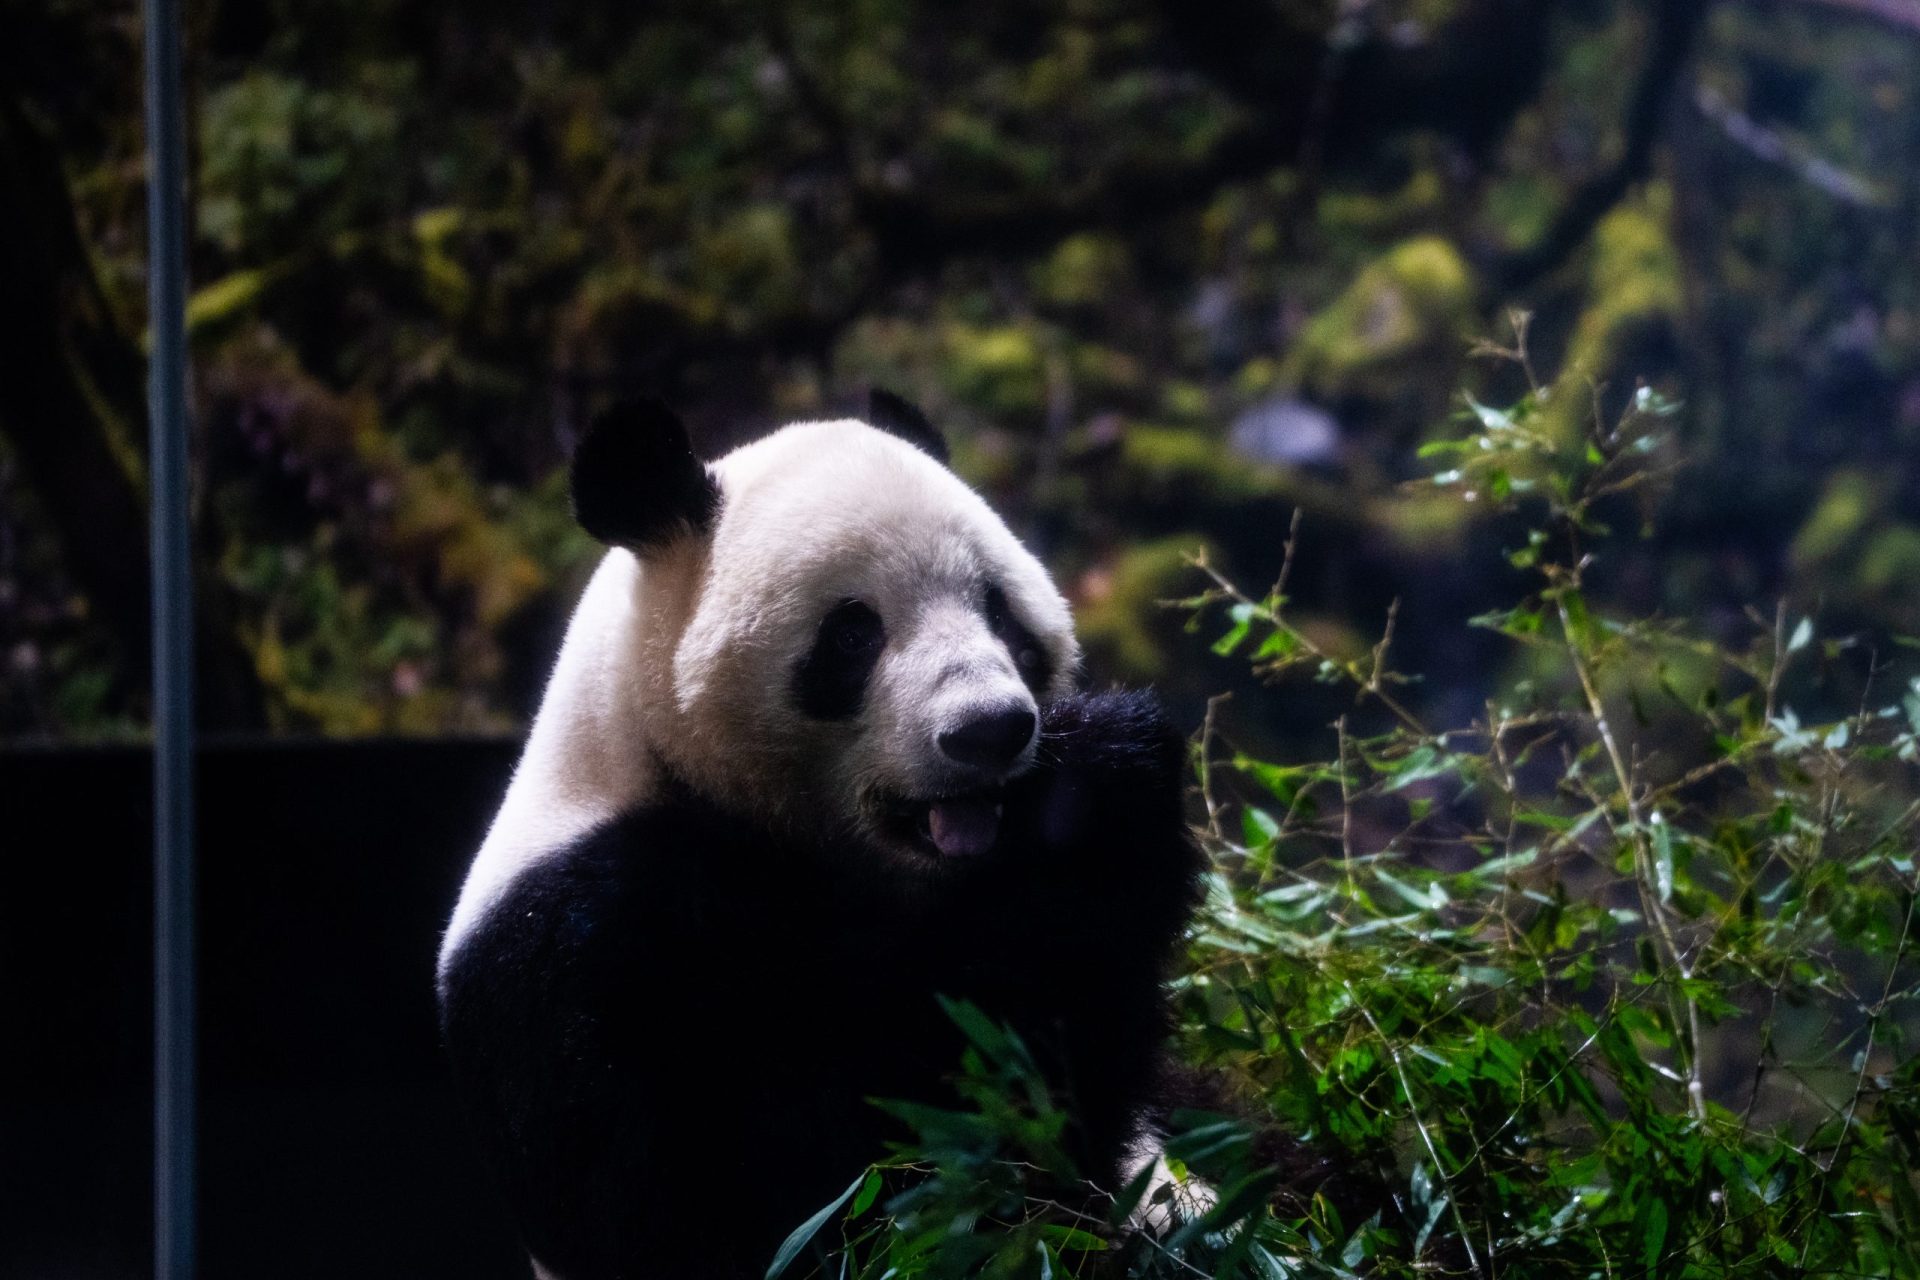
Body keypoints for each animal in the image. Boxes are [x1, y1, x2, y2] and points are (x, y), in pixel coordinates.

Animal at [436, 392, 1206, 1280]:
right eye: (852, 632)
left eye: (998, 608)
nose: (988, 730)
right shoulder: (586, 948)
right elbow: (805, 1187)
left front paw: (1097, 789)